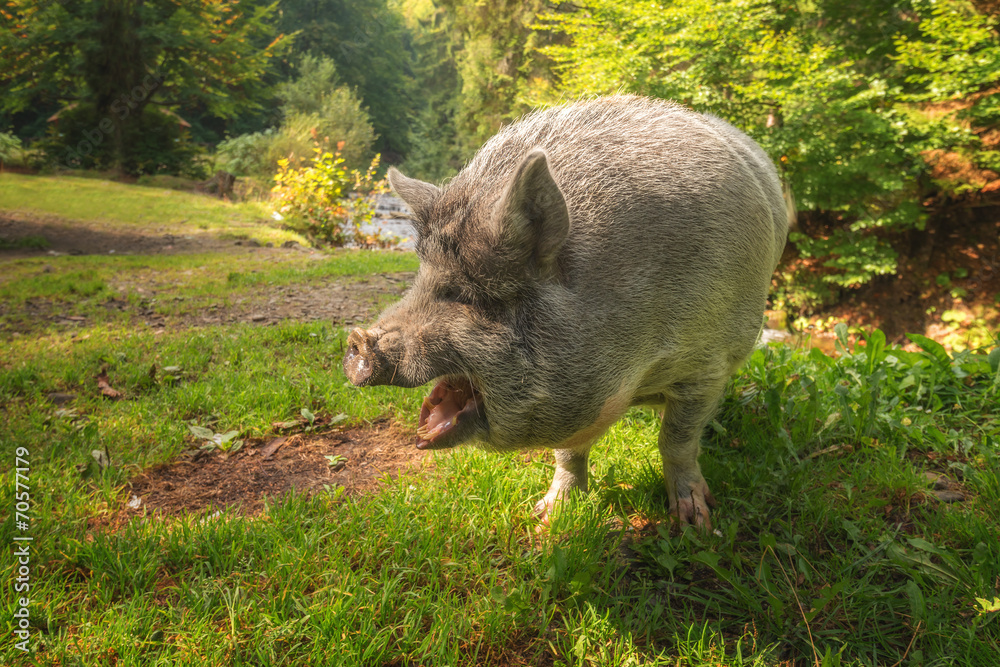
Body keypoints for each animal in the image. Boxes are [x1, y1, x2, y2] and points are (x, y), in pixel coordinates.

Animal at [344, 95, 788, 532]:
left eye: (469, 297)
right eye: (420, 280)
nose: (358, 343)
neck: (633, 369)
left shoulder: (705, 367)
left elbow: (676, 441)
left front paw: (697, 523)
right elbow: (568, 451)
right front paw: (547, 517)